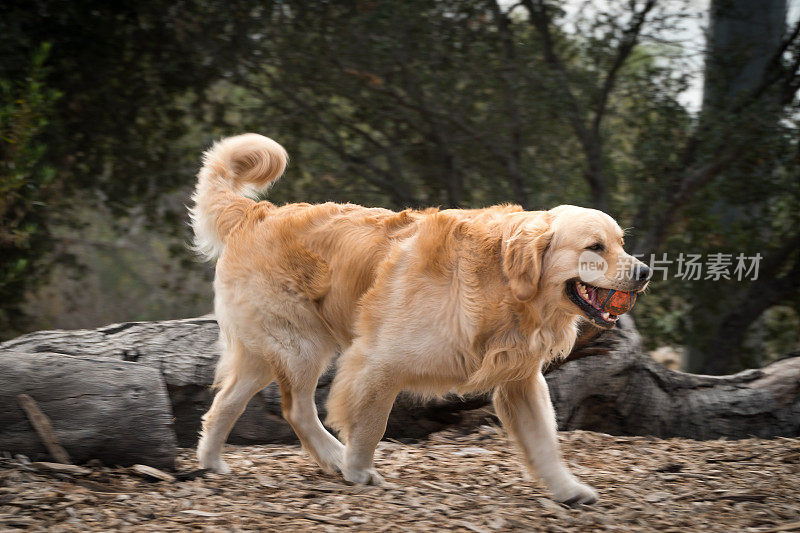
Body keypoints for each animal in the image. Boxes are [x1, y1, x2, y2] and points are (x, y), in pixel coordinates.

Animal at [192, 132, 648, 502]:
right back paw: (334, 458)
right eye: (595, 247)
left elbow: (544, 443)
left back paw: (211, 464)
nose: (645, 272)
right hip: (301, 346)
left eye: (621, 243)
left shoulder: (520, 381)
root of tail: (258, 213)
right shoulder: (377, 362)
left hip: (268, 351)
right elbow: (371, 424)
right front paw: (358, 470)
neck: (501, 281)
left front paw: (568, 489)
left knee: (223, 405)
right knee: (297, 410)